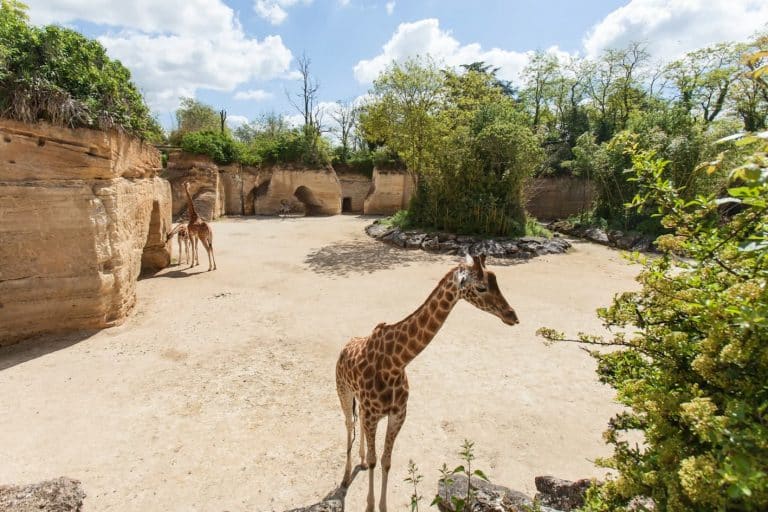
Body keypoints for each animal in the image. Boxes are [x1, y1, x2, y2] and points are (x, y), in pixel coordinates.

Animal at [334, 253, 520, 512]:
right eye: (482, 287)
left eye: (496, 282)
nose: (512, 316)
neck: (395, 362)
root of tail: (345, 346)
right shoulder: (374, 414)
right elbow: (374, 460)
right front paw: (369, 505)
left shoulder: (398, 414)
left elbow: (386, 461)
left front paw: (383, 506)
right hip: (344, 392)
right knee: (349, 424)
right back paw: (345, 476)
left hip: (362, 404)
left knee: (358, 424)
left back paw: (358, 460)